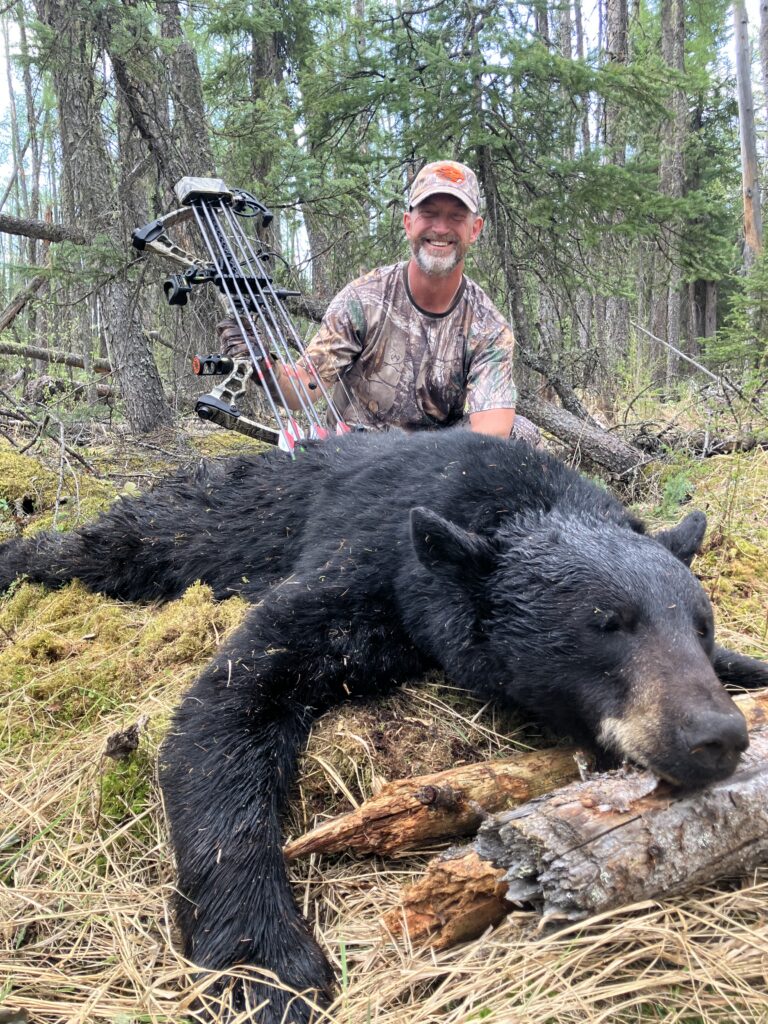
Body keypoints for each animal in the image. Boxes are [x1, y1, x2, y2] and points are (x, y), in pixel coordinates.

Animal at [1, 428, 766, 1024]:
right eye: (606, 624)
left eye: (701, 625)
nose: (716, 735)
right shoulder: (362, 567)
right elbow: (227, 705)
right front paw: (264, 965)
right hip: (192, 521)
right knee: (104, 545)